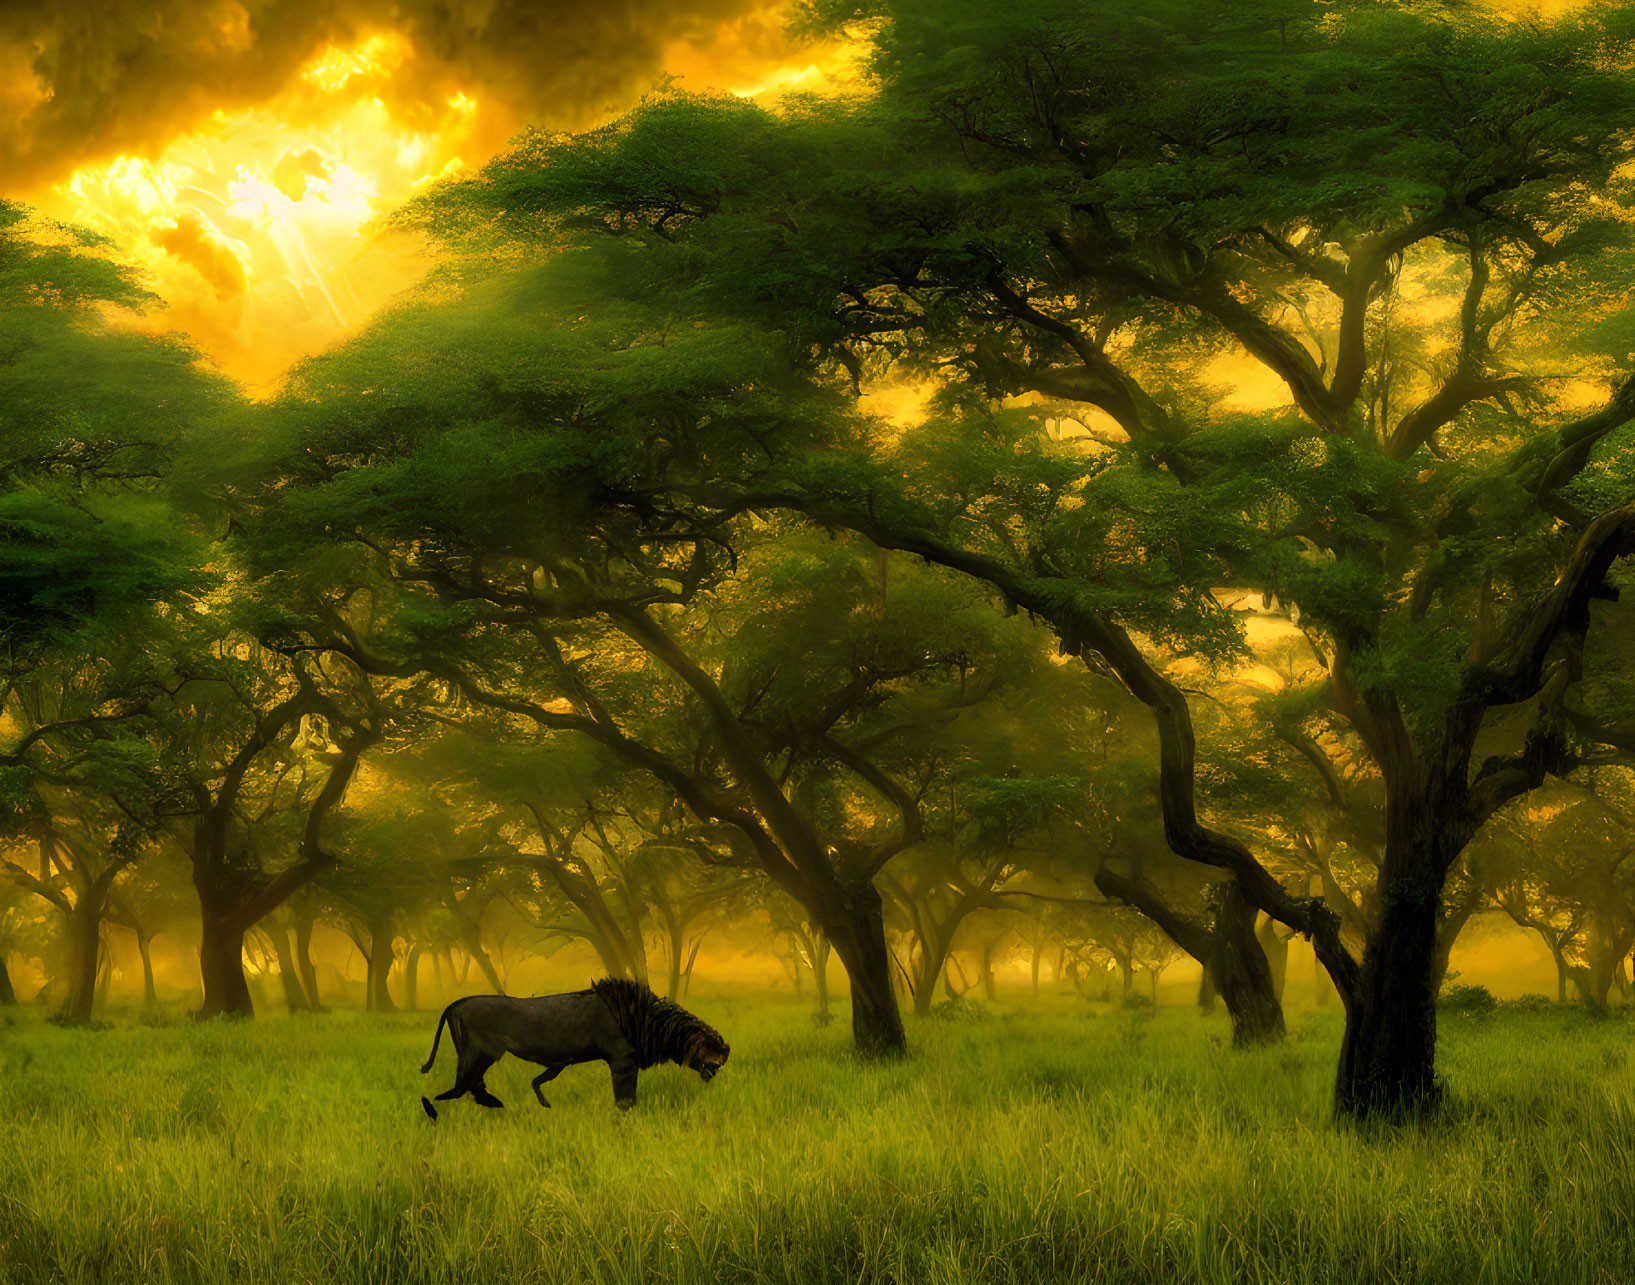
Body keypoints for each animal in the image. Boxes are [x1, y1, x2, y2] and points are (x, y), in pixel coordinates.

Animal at [418, 974, 732, 1118]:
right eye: (712, 1051)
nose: (726, 1051)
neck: (651, 1022)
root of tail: (458, 1002)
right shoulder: (623, 1063)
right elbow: (626, 1099)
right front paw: (626, 1121)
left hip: (482, 1055)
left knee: (471, 1085)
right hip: (478, 1052)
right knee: (460, 1086)